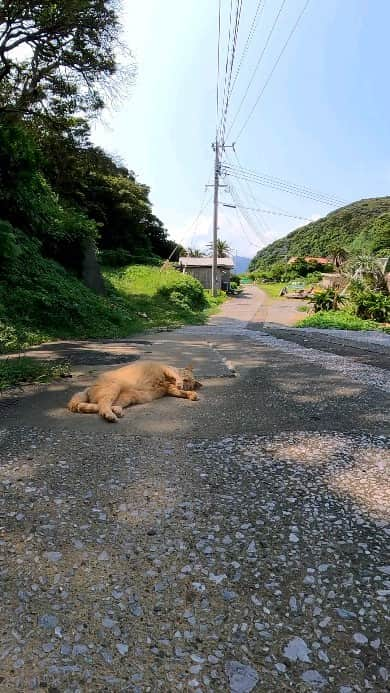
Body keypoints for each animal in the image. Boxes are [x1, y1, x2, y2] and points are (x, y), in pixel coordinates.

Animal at [68, 362, 201, 422]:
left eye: (190, 384)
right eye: (186, 378)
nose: (185, 383)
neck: (168, 381)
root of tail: (88, 388)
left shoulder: (170, 390)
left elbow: (181, 393)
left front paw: (191, 394)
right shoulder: (165, 368)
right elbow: (174, 374)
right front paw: (179, 382)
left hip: (128, 397)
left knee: (101, 405)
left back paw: (116, 410)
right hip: (113, 388)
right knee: (102, 405)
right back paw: (110, 415)